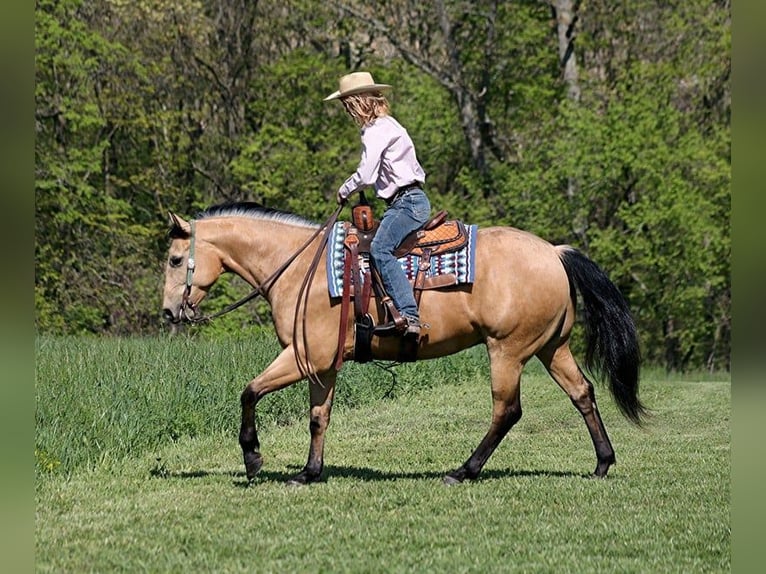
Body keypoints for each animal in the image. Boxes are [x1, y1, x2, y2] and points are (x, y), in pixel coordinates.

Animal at [162, 202, 646, 486]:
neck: (301, 268)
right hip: (551, 347)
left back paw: (463, 471)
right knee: (582, 393)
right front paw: (309, 473)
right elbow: (318, 418)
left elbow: (249, 391)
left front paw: (253, 457)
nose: (169, 312)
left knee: (507, 411)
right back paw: (603, 463)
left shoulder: (303, 357)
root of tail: (554, 252)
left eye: (174, 259)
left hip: (507, 350)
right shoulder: (322, 365)